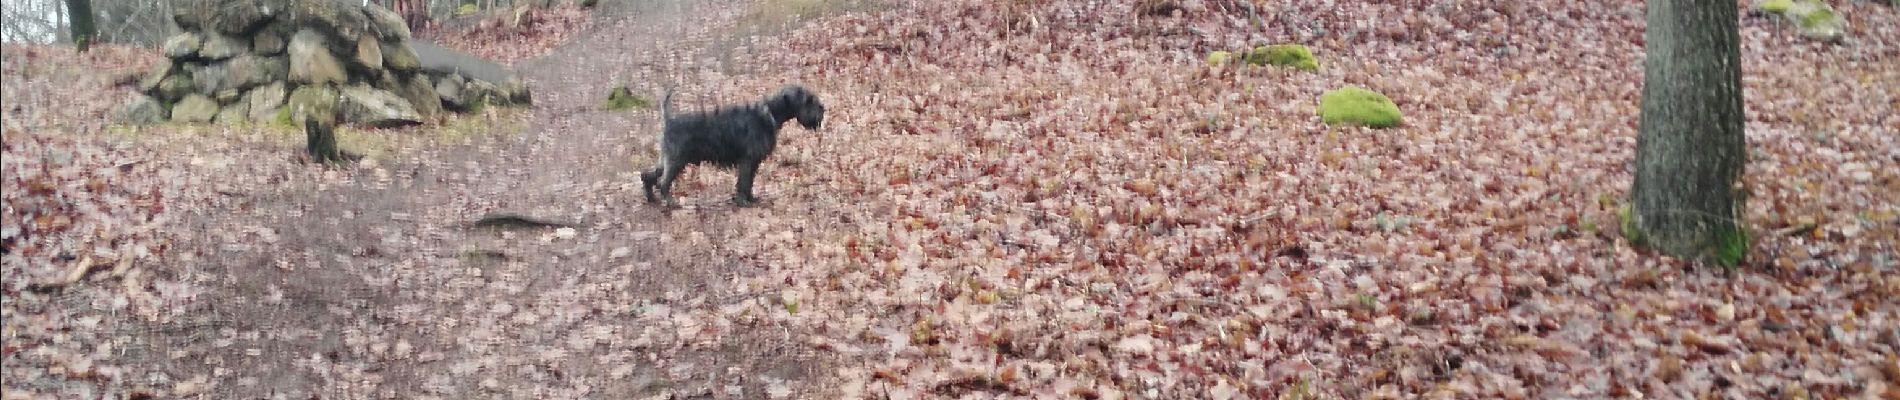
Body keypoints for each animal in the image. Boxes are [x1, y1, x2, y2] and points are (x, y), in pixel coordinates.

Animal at [642, 85, 820, 207]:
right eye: (808, 100)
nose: (822, 109)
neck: (769, 114)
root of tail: (669, 120)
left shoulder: (753, 162)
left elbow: (749, 183)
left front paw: (750, 198)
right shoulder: (747, 161)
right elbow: (743, 182)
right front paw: (743, 201)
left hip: (668, 160)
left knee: (647, 175)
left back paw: (651, 198)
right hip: (676, 161)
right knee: (663, 183)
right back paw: (671, 202)